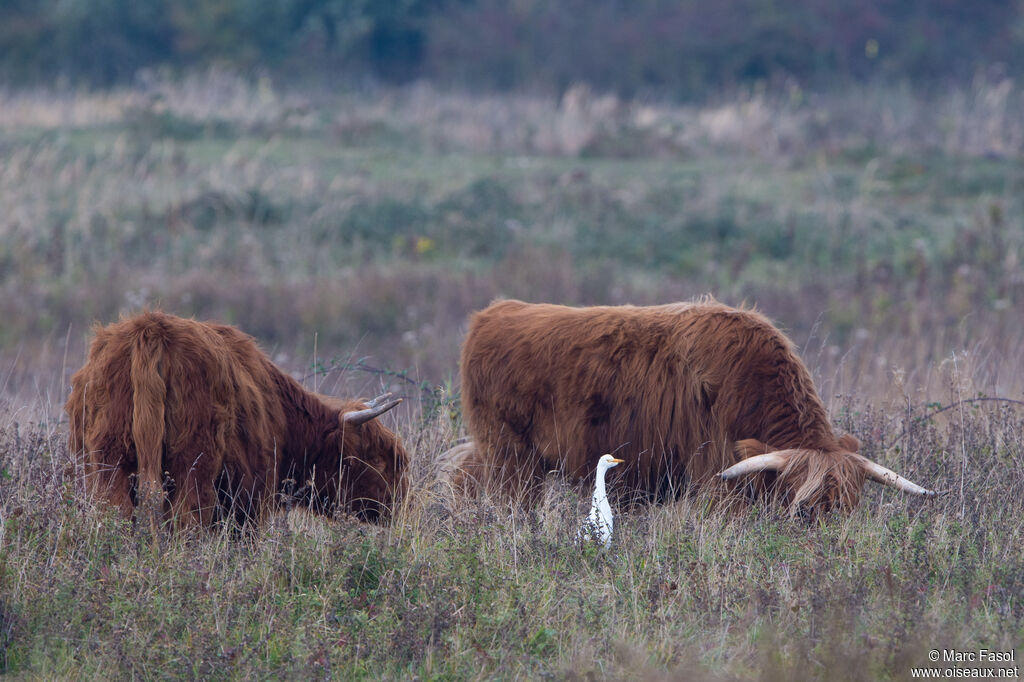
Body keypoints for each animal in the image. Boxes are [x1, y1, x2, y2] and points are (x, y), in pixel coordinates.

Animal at [62, 311, 407, 528]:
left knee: (116, 512)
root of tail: (152, 330)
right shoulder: (250, 502)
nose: (402, 502)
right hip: (192, 466)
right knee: (186, 519)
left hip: (110, 460)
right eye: (377, 460)